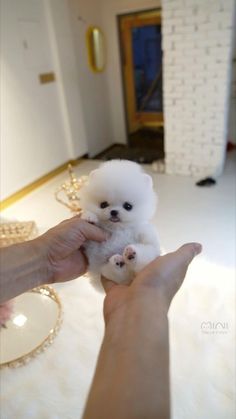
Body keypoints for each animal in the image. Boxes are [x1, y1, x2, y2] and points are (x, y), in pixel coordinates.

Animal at [79, 159, 160, 288]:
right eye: (103, 204)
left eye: (128, 206)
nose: (114, 212)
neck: (117, 229)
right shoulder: (91, 241)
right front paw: (89, 217)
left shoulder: (146, 239)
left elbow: (148, 244)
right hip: (102, 266)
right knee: (114, 274)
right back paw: (118, 262)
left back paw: (129, 256)